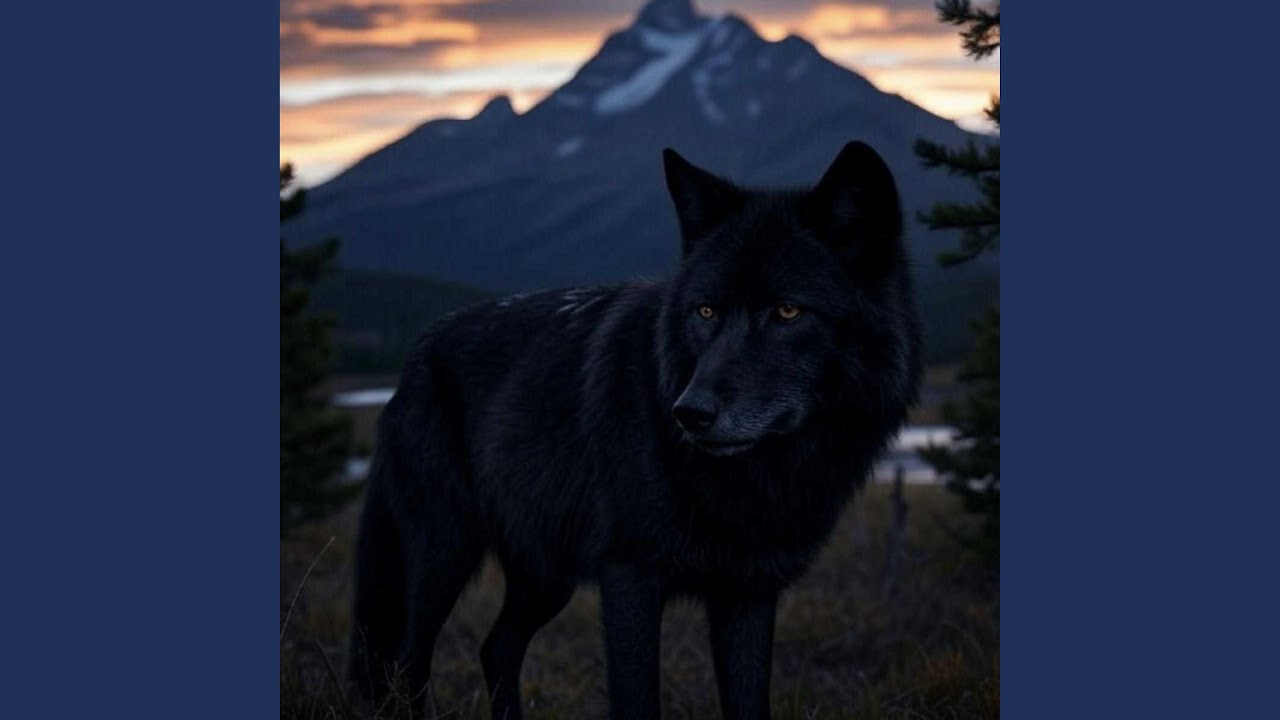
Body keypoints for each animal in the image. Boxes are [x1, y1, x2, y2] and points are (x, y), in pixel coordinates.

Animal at [348, 141, 921, 720]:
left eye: (787, 311)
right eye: (705, 310)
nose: (689, 412)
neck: (758, 477)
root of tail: (416, 356)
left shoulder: (749, 593)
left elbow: (747, 702)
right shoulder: (630, 576)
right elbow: (637, 699)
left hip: (544, 578)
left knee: (496, 647)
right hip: (442, 558)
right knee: (404, 666)